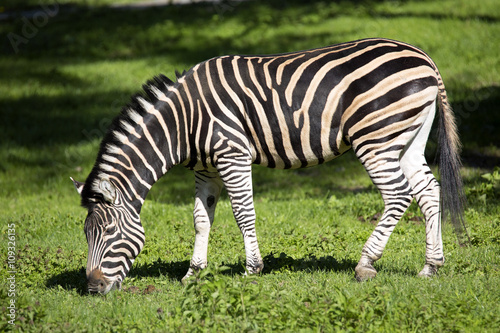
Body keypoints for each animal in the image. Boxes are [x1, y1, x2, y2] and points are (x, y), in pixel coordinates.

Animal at [71, 38, 464, 294]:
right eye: (86, 234)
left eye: (108, 232)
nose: (92, 288)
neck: (183, 121)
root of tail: (424, 57)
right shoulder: (205, 168)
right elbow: (201, 219)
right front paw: (193, 273)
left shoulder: (232, 154)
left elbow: (243, 213)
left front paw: (251, 269)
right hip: (408, 137)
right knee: (429, 191)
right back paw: (431, 266)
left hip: (377, 137)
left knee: (398, 194)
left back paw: (366, 263)